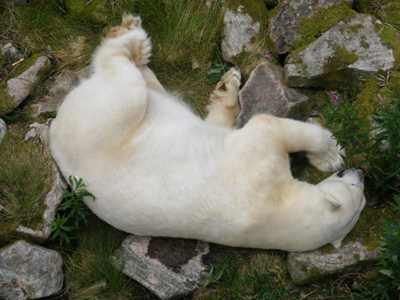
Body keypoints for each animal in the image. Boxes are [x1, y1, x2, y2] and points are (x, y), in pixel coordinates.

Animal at [49, 14, 366, 253]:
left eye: (362, 198)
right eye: (352, 186)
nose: (361, 173)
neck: (272, 215)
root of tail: (53, 133)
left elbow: (221, 126)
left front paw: (226, 91)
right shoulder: (259, 165)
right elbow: (270, 126)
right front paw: (331, 155)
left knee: (153, 91)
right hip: (101, 122)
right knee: (125, 82)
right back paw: (133, 33)